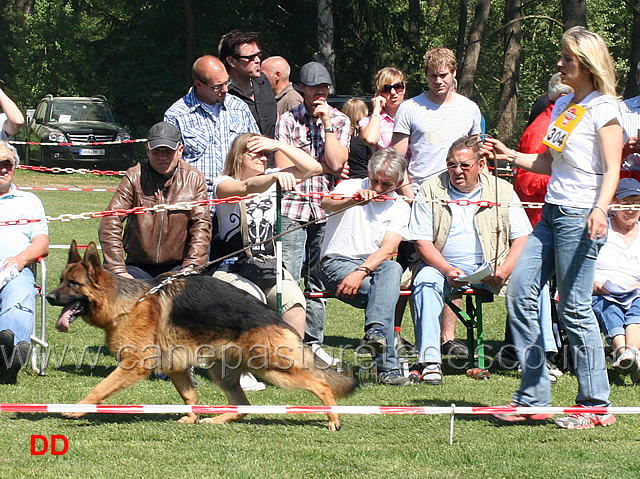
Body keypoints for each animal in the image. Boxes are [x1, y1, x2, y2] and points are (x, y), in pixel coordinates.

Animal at [46, 244, 356, 432]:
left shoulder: (134, 366)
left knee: (320, 385)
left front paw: (76, 410)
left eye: (73, 284)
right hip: (224, 373)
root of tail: (275, 317)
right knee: (243, 406)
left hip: (271, 368)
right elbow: (190, 395)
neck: (128, 303)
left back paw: (334, 418)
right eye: (61, 280)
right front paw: (193, 416)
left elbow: (101, 388)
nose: (47, 297)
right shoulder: (177, 366)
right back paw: (218, 418)